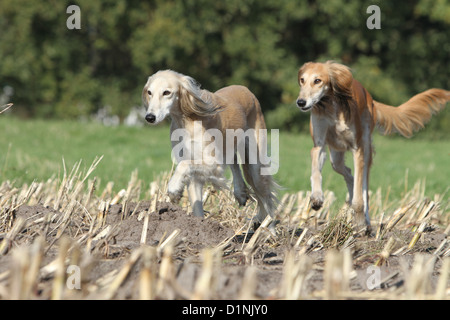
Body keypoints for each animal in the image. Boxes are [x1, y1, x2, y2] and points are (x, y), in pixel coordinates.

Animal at [143, 70, 278, 230]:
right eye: (149, 92)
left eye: (166, 92)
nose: (150, 117)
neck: (187, 120)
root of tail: (247, 90)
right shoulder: (195, 174)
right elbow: (196, 205)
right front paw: (199, 227)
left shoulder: (214, 165)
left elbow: (184, 165)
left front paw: (174, 189)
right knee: (234, 162)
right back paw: (240, 192)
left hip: (255, 165)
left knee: (266, 198)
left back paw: (268, 228)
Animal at [298, 61, 448, 232]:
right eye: (302, 80)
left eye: (318, 80)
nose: (300, 102)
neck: (331, 106)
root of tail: (370, 97)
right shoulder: (319, 145)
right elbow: (316, 172)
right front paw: (316, 197)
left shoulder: (358, 149)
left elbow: (360, 197)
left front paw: (361, 224)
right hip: (336, 156)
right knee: (348, 173)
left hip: (366, 149)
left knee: (363, 188)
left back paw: (366, 221)